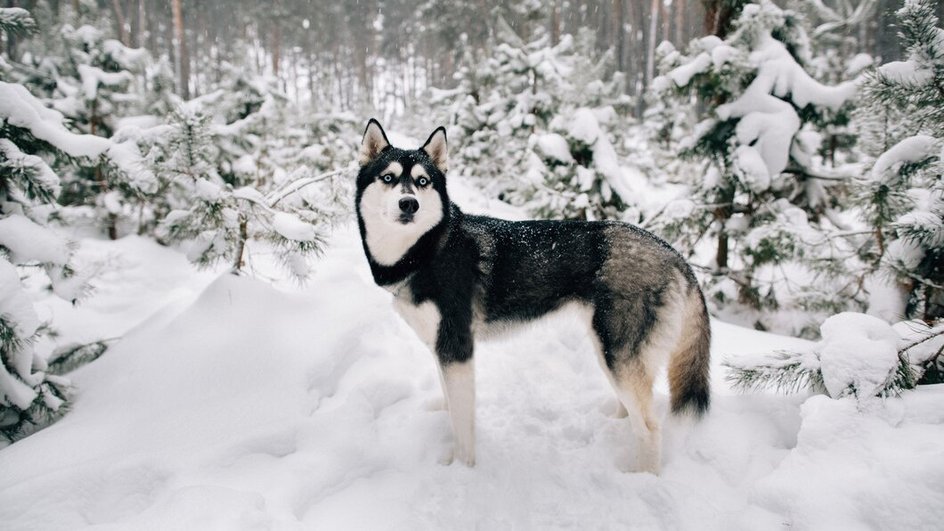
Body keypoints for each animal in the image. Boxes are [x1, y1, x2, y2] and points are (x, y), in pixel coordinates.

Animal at [354, 120, 708, 474]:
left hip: (616, 352)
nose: (409, 203)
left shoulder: (457, 348)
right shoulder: (442, 347)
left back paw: (641, 475)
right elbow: (451, 404)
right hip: (609, 351)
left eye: (422, 181)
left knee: (649, 426)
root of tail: (673, 253)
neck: (428, 249)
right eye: (388, 177)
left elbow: (463, 424)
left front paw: (462, 468)